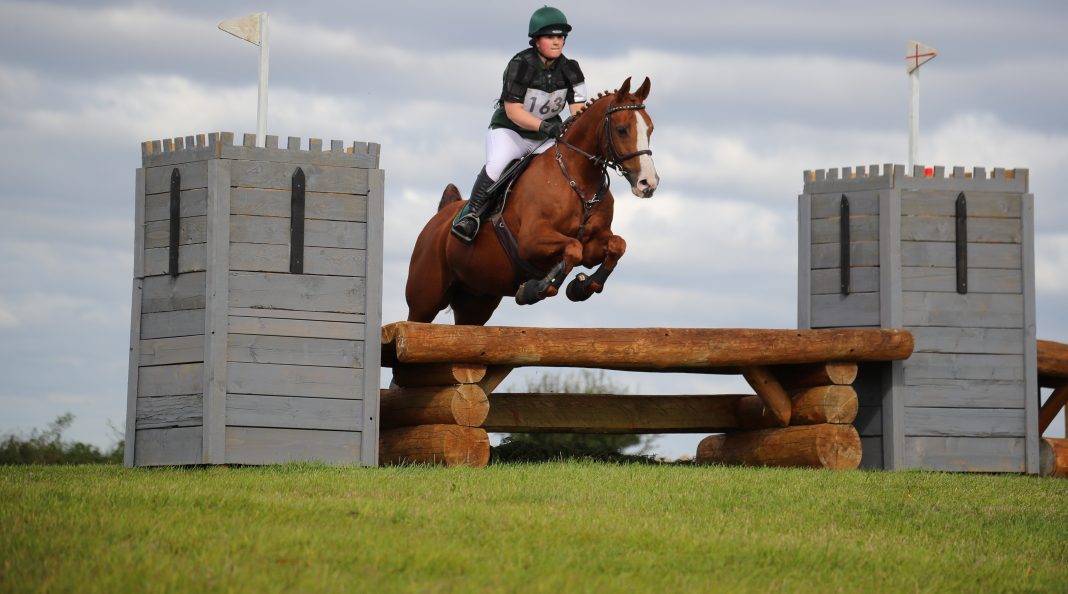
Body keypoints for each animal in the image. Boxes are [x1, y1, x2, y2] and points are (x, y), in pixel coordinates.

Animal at [405, 75, 657, 324]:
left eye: (650, 129)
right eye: (622, 129)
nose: (648, 183)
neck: (577, 181)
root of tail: (440, 216)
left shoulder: (594, 244)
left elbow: (616, 245)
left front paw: (582, 287)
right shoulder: (531, 241)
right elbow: (573, 248)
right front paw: (535, 289)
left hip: (477, 299)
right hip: (424, 300)